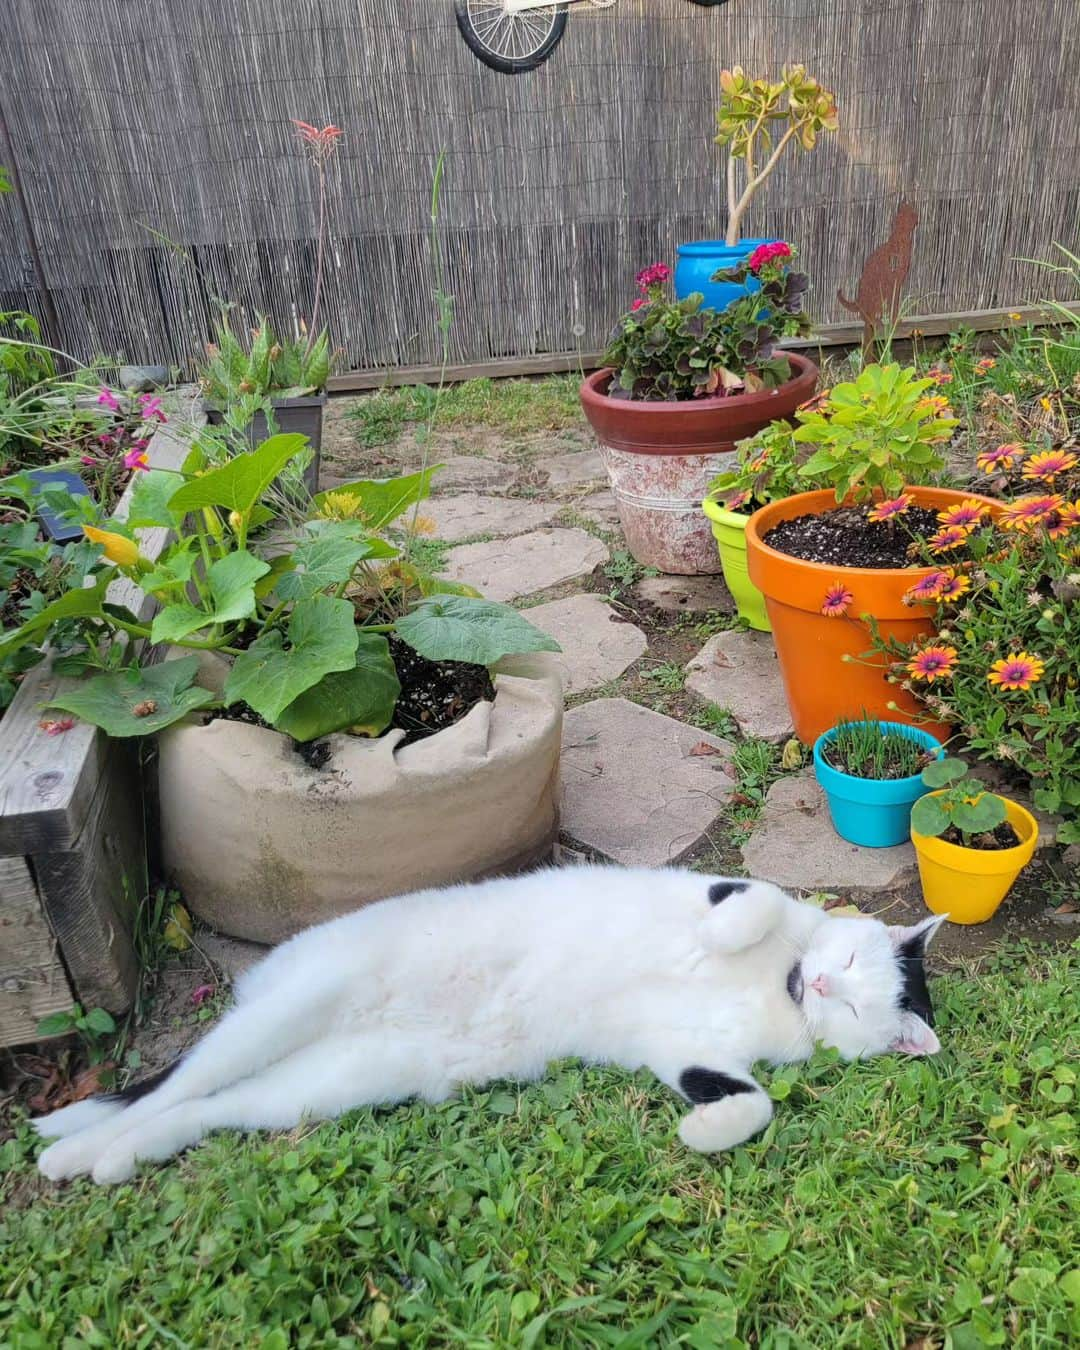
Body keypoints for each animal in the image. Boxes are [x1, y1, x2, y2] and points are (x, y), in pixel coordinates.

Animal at [33, 864, 945, 1182]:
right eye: (849, 965)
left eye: (852, 1002)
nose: (817, 979)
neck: (775, 989)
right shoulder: (735, 889)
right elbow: (753, 906)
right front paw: (727, 938)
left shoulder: (696, 1052)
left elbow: (754, 1101)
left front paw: (702, 1131)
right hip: (293, 1009)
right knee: (170, 1086)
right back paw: (72, 1143)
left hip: (324, 1083)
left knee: (204, 1108)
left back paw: (103, 1158)